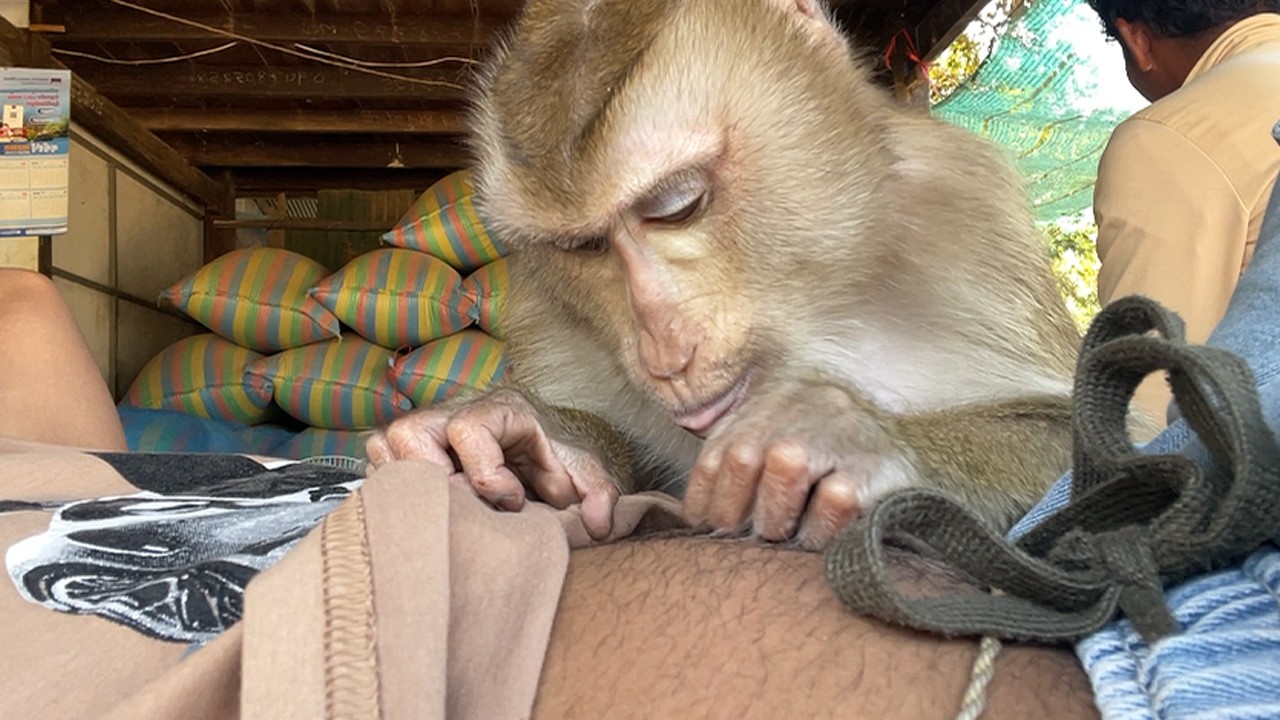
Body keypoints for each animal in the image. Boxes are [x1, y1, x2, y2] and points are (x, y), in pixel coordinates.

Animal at [365, 0, 1089, 550]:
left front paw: (846, 438)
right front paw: (535, 436)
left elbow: (1086, 446)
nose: (664, 352)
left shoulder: (972, 225)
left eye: (677, 204)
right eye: (584, 246)